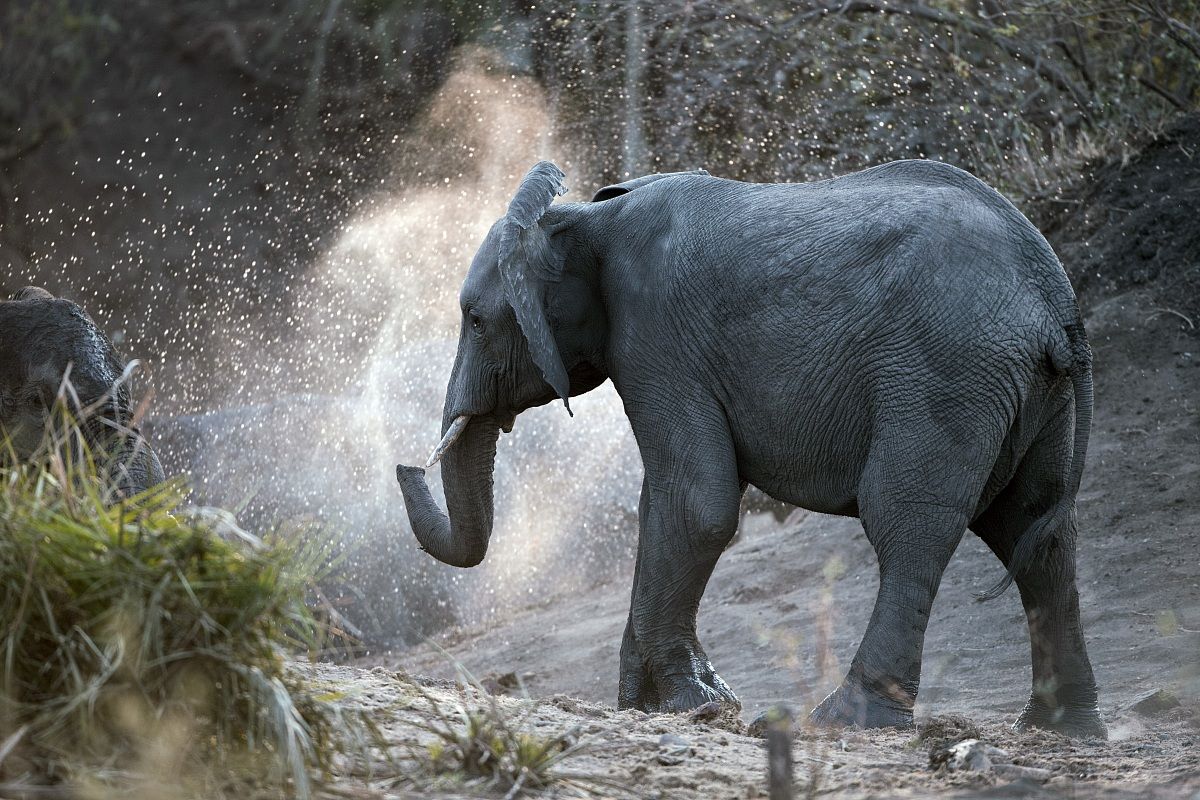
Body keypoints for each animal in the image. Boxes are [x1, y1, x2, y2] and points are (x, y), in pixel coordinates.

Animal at [396, 159, 1105, 738]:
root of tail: (1053, 300)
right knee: (1036, 531)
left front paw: (692, 707)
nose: (404, 465)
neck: (587, 218)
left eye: (475, 319)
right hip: (1031, 392)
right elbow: (669, 504)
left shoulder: (658, 336)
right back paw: (1060, 729)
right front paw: (658, 705)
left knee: (908, 523)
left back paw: (841, 723)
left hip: (944, 374)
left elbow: (697, 505)